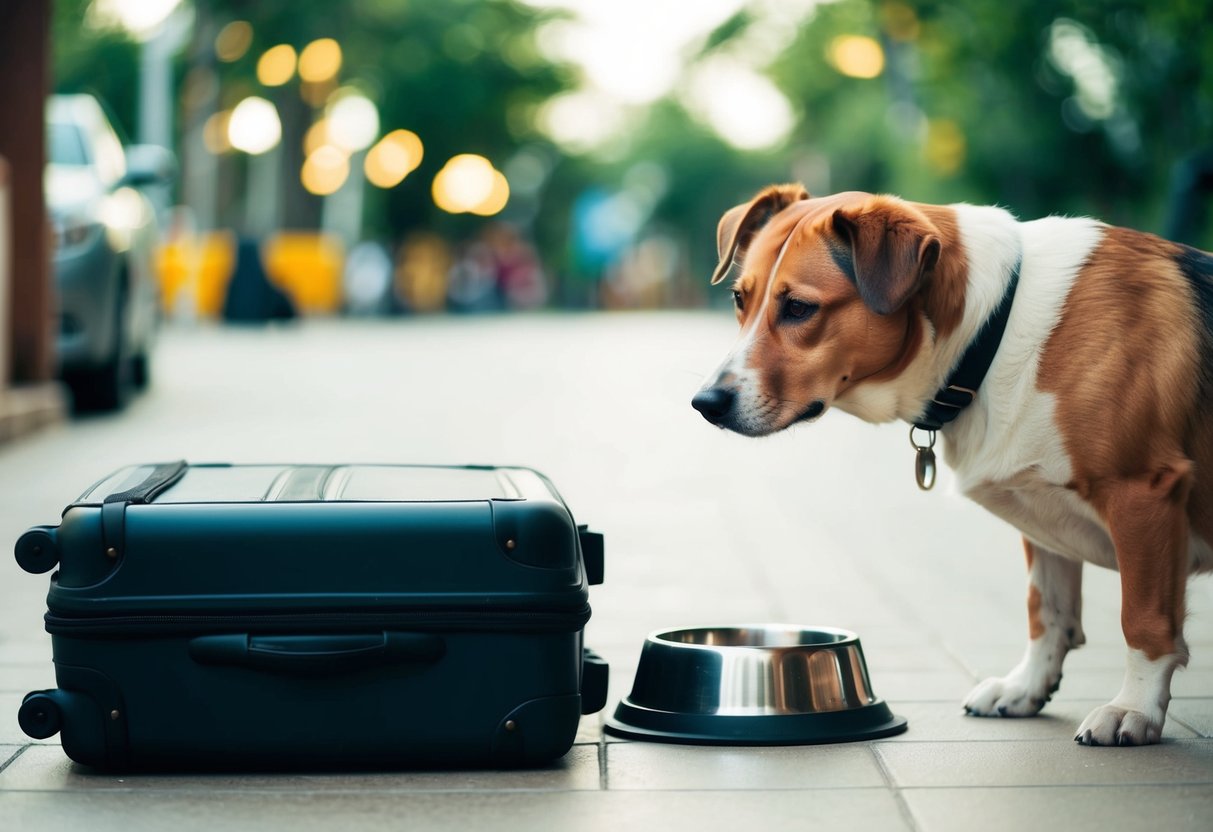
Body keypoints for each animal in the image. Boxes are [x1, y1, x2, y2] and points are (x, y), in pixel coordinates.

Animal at [693, 184, 1213, 751]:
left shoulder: (1143, 492)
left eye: (798, 307)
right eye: (740, 300)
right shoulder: (1042, 511)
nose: (705, 403)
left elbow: (1143, 620)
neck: (992, 334)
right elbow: (1046, 613)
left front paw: (1133, 707)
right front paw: (1027, 687)